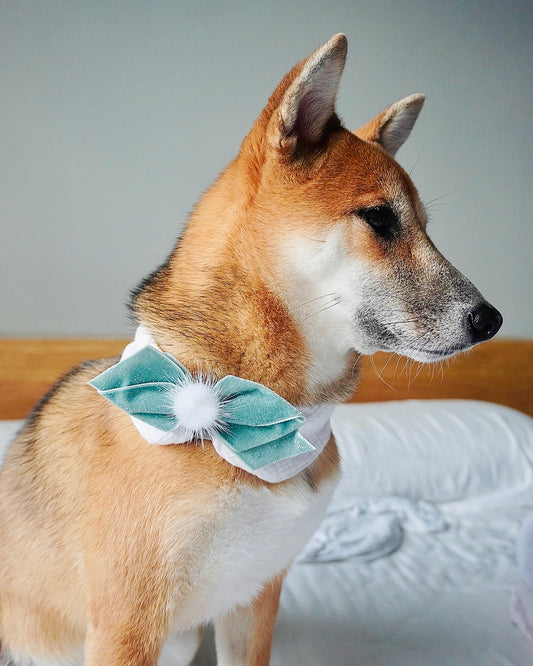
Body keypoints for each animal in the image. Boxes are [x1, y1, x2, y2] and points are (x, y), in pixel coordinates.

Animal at [0, 33, 502, 666]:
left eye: (426, 227)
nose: (491, 320)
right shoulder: (126, 624)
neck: (256, 411)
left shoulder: (254, 600)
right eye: (381, 219)